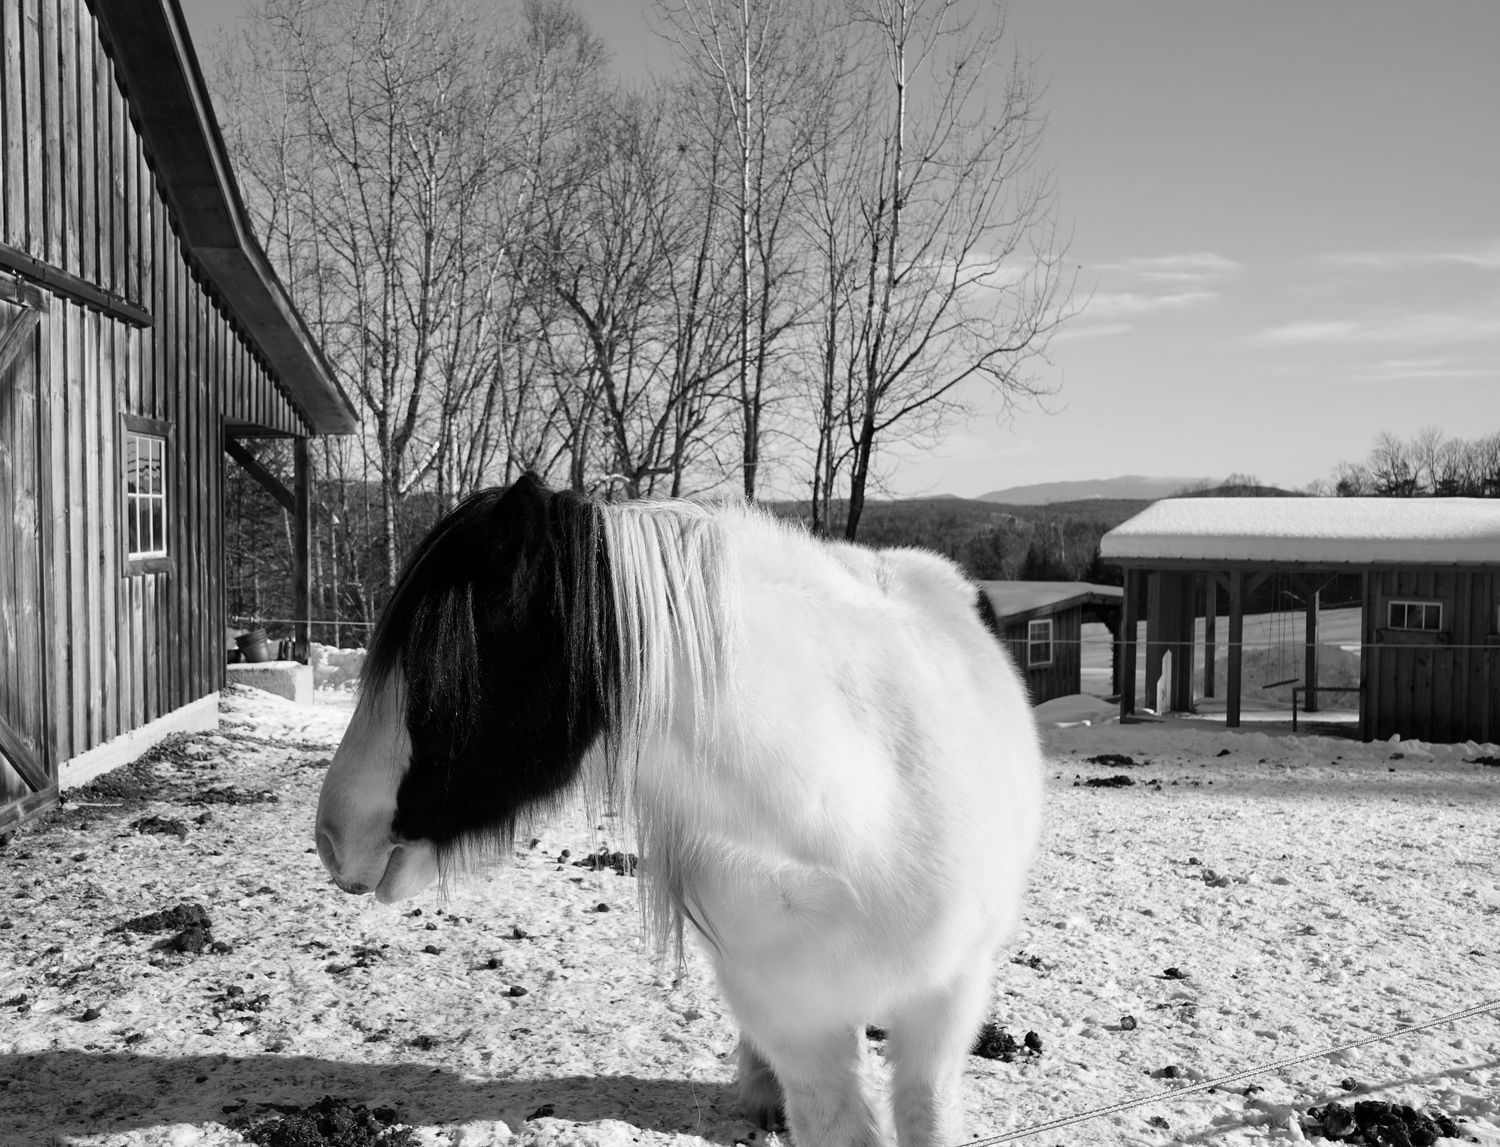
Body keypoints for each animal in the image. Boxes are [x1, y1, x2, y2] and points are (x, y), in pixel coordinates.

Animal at [315, 473, 1044, 1147]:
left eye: (452, 665)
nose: (332, 836)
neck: (853, 819)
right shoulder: (798, 1019)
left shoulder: (945, 1005)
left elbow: (928, 1114)